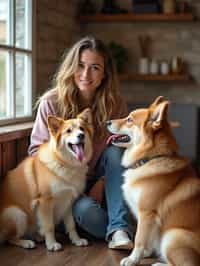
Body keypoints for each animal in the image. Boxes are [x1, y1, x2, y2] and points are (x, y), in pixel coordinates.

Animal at [0, 107, 94, 251]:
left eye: (82, 129)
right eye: (68, 131)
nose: (81, 135)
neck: (65, 163)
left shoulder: (67, 201)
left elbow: (71, 225)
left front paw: (76, 240)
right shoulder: (45, 202)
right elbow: (49, 226)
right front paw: (51, 244)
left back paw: (37, 236)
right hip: (18, 214)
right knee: (9, 238)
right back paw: (26, 242)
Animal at [107, 97, 200, 266]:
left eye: (129, 119)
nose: (107, 122)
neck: (149, 159)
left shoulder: (146, 213)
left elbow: (139, 239)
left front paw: (132, 259)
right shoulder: (147, 219)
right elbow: (147, 239)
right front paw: (144, 254)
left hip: (173, 235)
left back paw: (158, 264)